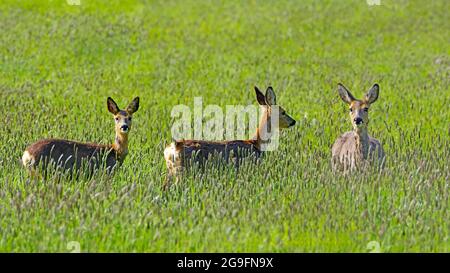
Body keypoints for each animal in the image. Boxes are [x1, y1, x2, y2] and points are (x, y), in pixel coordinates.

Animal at [163, 85, 298, 187]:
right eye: (283, 112)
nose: (293, 121)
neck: (256, 143)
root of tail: (173, 148)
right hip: (184, 171)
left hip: (171, 172)